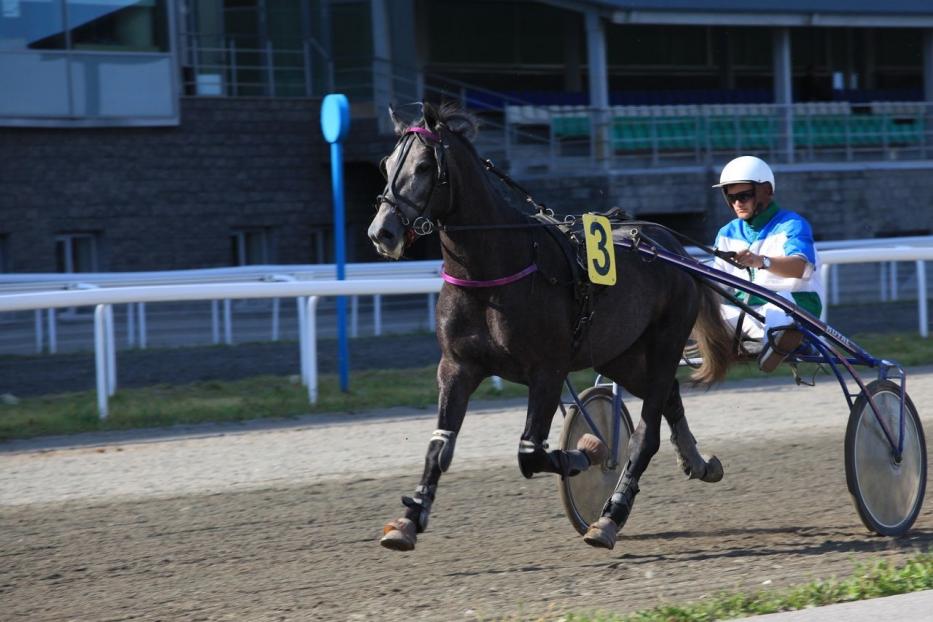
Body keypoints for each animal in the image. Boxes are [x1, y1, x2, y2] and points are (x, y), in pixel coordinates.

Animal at [364, 103, 736, 556]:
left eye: (421, 167)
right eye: (386, 165)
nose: (382, 232)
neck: (495, 267)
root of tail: (668, 243)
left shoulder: (547, 370)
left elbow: (530, 452)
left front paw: (589, 451)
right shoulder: (456, 366)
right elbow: (439, 447)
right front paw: (408, 519)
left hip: (665, 341)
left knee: (645, 433)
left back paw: (610, 516)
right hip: (621, 355)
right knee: (668, 396)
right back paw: (699, 463)